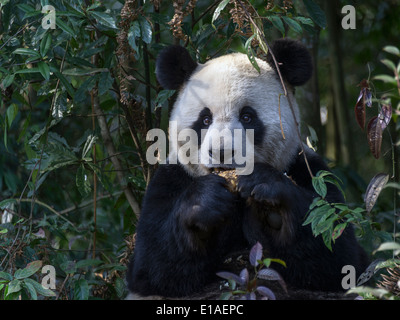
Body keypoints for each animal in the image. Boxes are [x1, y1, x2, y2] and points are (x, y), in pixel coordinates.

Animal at [126, 38, 368, 298]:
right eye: (205, 120)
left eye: (247, 117)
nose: (221, 152)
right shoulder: (170, 179)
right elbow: (153, 265)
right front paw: (205, 203)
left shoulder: (309, 171)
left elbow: (339, 255)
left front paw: (269, 197)